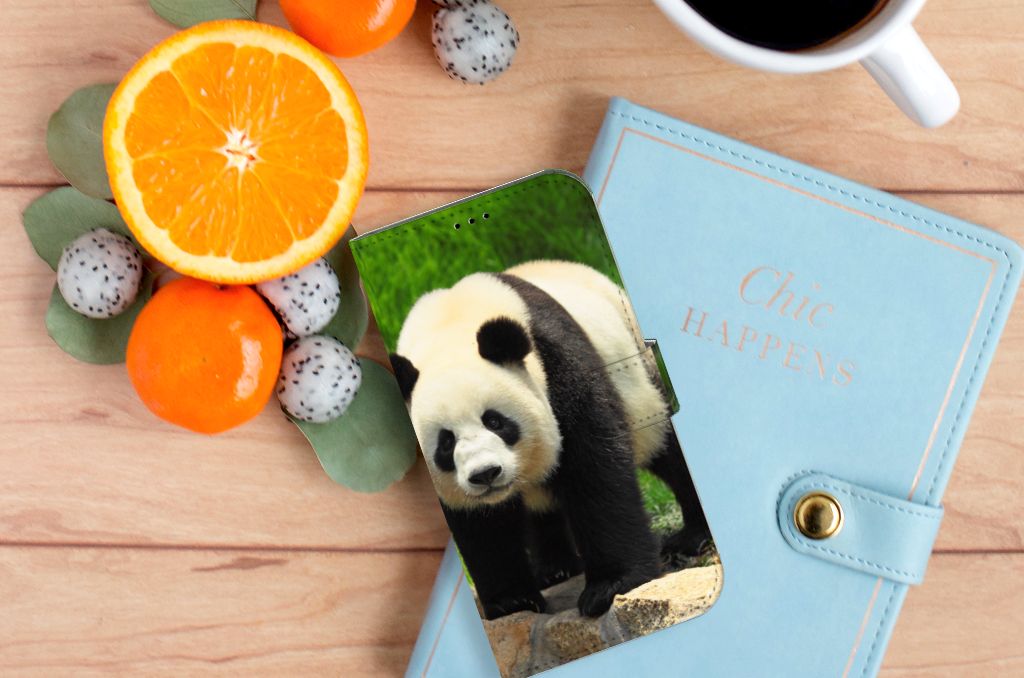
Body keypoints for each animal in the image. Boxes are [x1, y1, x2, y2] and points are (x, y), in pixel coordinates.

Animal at [389, 260, 710, 620]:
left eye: (495, 421)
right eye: (446, 443)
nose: (486, 474)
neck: (448, 329)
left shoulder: (555, 362)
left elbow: (594, 468)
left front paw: (610, 586)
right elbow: (480, 524)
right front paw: (513, 600)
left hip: (639, 382)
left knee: (665, 448)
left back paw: (692, 537)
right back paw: (555, 568)